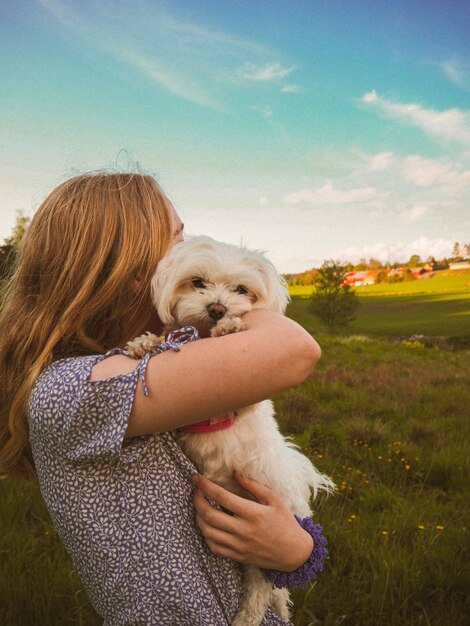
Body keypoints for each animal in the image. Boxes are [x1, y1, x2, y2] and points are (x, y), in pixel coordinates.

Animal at [129, 236, 334, 624]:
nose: (218, 309)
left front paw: (229, 329)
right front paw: (145, 344)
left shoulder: (246, 403)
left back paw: (246, 616)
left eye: (242, 289)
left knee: (259, 590)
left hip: (263, 546)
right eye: (198, 282)